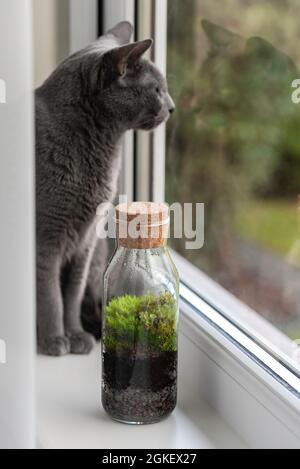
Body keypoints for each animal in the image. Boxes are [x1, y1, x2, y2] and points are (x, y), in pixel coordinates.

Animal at [36, 21, 175, 354]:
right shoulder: (47, 235)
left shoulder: (86, 240)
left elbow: (71, 295)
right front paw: (54, 339)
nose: (173, 108)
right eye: (157, 90)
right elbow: (50, 293)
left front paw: (74, 334)